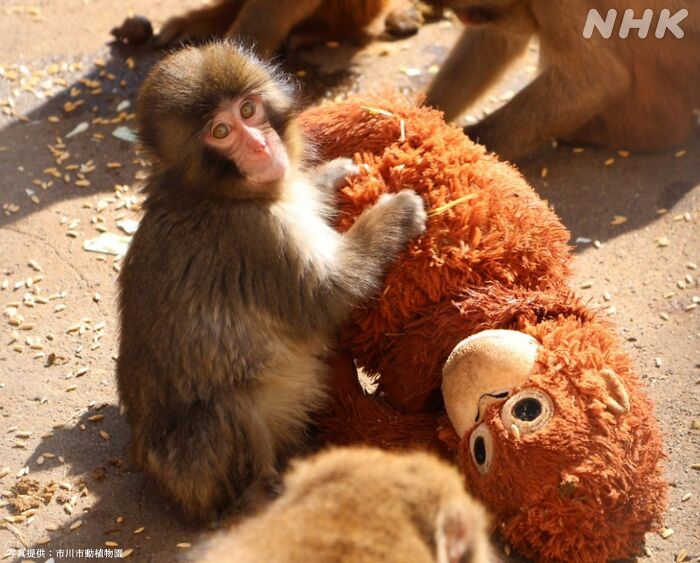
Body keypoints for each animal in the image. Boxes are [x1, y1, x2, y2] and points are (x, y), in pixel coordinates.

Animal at [116, 41, 427, 522]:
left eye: (248, 109)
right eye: (221, 131)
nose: (261, 146)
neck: (218, 193)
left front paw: (330, 176)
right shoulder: (257, 237)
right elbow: (326, 296)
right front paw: (395, 215)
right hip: (196, 470)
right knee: (227, 408)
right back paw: (262, 494)